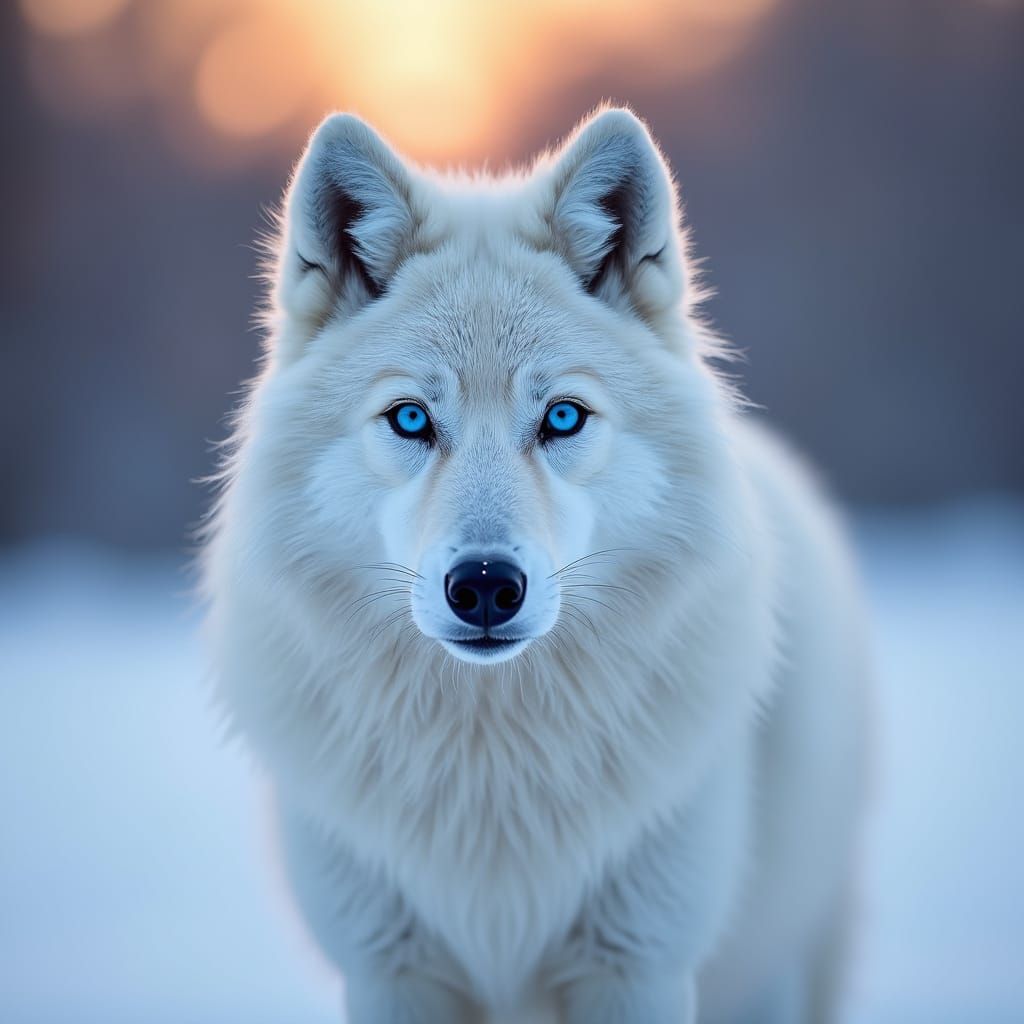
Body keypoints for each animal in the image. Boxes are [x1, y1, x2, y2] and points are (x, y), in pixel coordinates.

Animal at [201, 106, 870, 1023]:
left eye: (561, 417)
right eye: (410, 419)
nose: (485, 586)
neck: (491, 767)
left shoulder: (637, 970)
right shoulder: (390, 974)